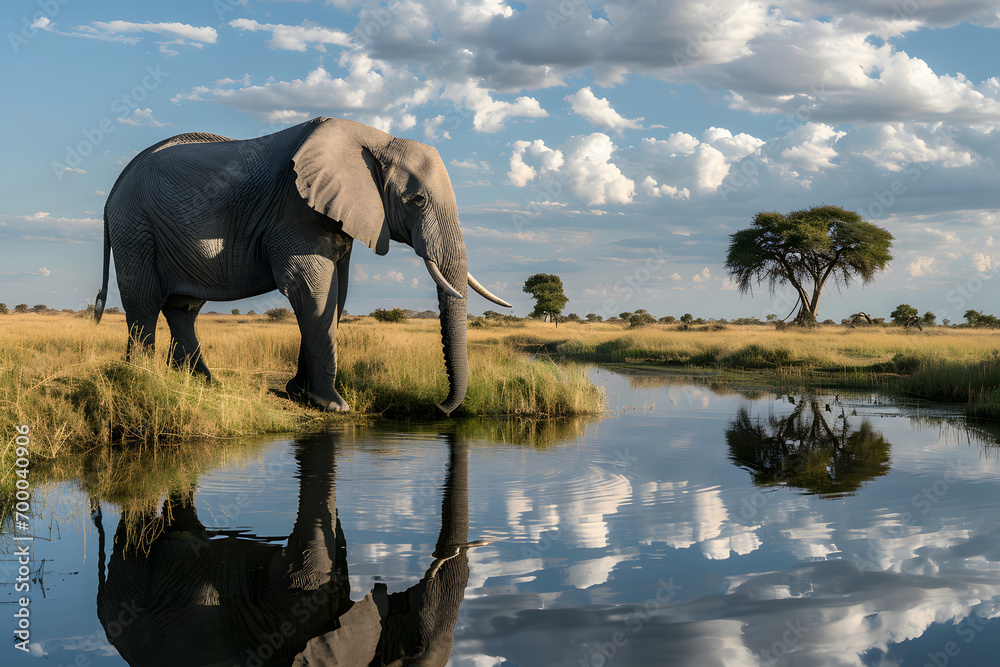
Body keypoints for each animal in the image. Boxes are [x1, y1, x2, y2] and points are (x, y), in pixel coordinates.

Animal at [94, 116, 510, 414]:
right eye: (418, 200)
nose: (440, 408)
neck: (375, 138)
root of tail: (114, 188)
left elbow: (337, 293)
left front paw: (300, 394)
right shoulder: (294, 210)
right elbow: (311, 287)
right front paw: (334, 406)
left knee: (183, 308)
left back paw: (204, 384)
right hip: (135, 227)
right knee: (144, 303)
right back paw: (143, 379)